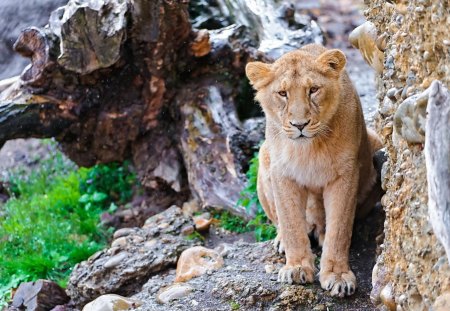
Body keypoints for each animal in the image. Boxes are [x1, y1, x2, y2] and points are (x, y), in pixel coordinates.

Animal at [244, 44, 382, 298]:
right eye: (282, 93)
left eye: (313, 90)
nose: (300, 125)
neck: (309, 148)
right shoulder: (282, 173)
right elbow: (291, 223)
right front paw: (297, 267)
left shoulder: (345, 175)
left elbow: (339, 229)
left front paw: (338, 275)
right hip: (264, 154)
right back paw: (282, 241)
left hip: (376, 144)